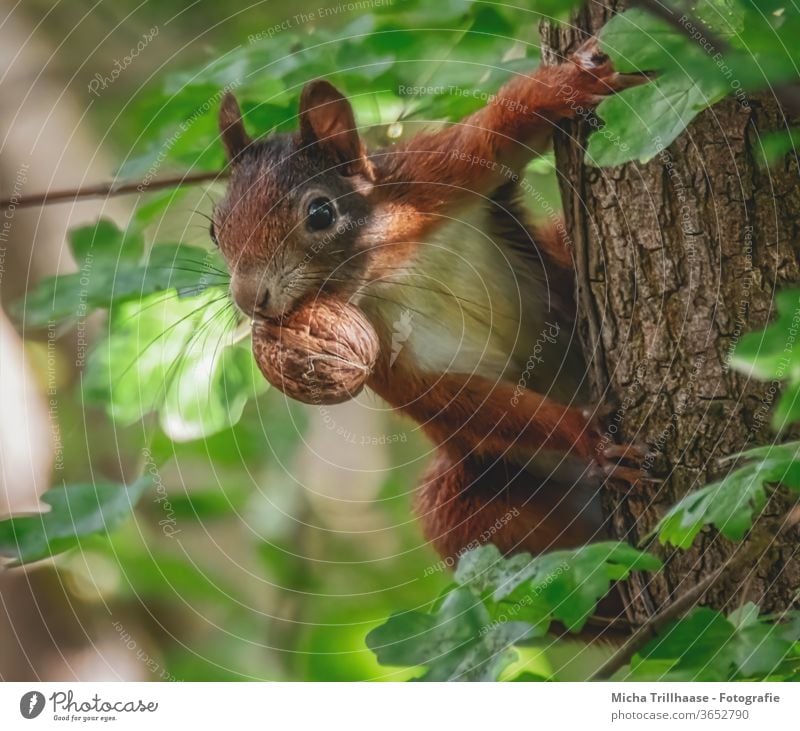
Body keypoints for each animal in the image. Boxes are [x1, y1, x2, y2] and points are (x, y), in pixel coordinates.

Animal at [211, 37, 648, 568]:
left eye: (320, 213)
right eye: (215, 230)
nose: (249, 299)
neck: (389, 270)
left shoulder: (432, 178)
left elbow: (499, 129)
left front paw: (576, 81)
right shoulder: (389, 365)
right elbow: (462, 402)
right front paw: (591, 440)